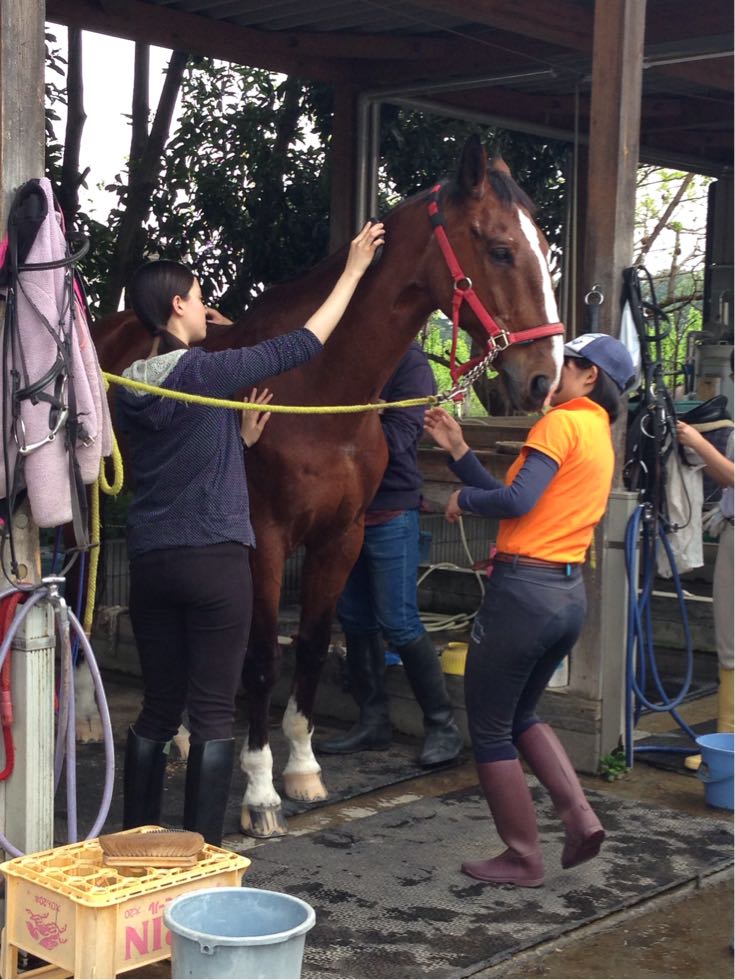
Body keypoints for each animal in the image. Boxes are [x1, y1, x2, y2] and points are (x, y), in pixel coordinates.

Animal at [92, 135, 565, 838]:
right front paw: (260, 793)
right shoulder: (264, 540)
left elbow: (313, 647)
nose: (544, 378)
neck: (315, 393)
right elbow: (264, 658)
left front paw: (302, 769)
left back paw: (178, 734)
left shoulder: (342, 537)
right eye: (502, 249)